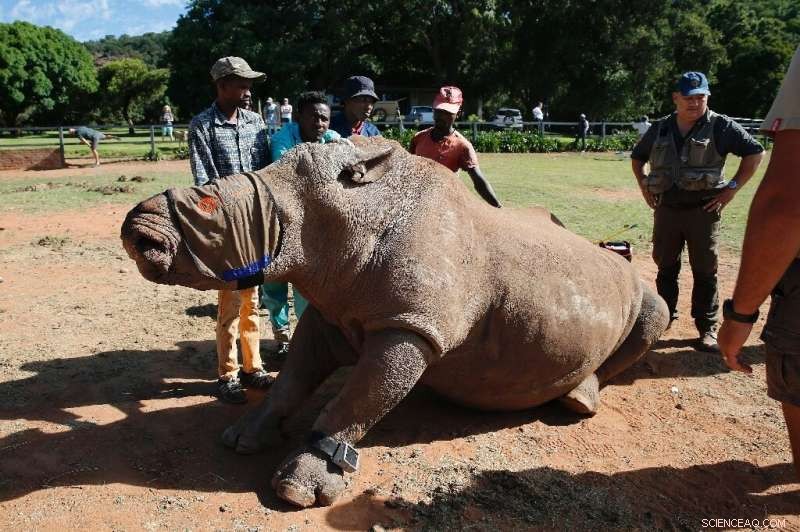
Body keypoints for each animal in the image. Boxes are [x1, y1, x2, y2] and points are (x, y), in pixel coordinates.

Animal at [121, 136, 669, 507]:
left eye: (207, 208)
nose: (136, 231)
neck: (353, 209)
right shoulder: (332, 306)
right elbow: (293, 379)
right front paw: (241, 438)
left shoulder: (411, 325)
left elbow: (356, 400)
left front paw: (297, 490)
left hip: (630, 282)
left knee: (656, 311)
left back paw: (578, 401)